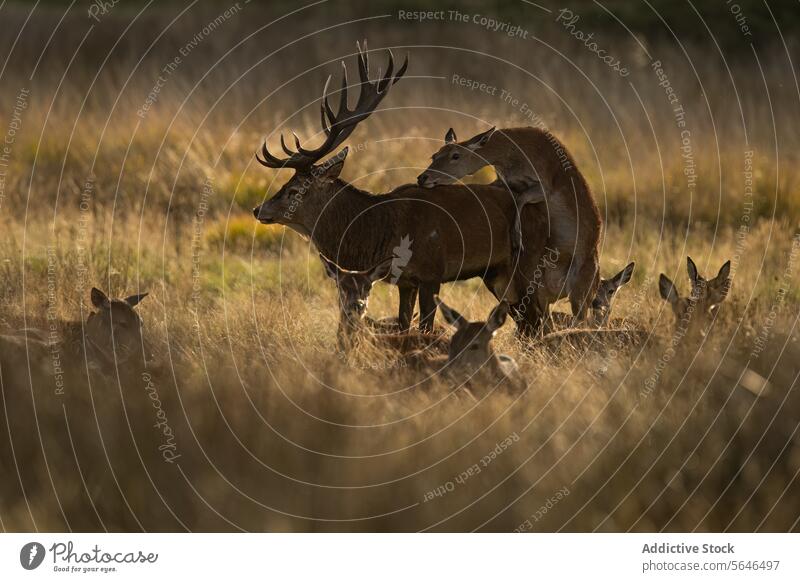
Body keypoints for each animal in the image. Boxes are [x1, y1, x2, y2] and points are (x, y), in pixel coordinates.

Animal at [253, 43, 548, 336]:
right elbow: (404, 324)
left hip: (528, 261)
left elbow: (425, 327)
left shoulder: (432, 272)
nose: (258, 209)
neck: (383, 230)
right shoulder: (405, 281)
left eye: (295, 190)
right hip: (496, 273)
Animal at [418, 126, 600, 324]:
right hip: (546, 294)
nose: (423, 177)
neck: (512, 154)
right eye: (434, 155)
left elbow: (520, 199)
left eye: (456, 155)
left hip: (579, 293)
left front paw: (517, 239)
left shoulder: (544, 188)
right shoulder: (504, 182)